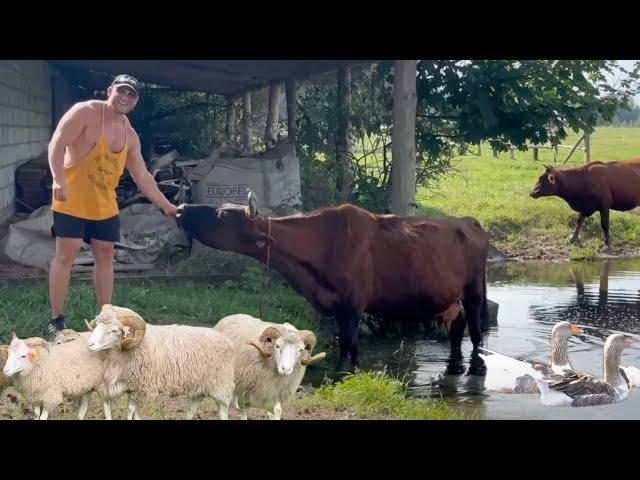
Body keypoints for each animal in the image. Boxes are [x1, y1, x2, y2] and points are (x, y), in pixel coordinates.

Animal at [85, 304, 235, 420]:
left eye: (114, 330)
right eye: (97, 325)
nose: (90, 344)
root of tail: (225, 338)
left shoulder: (140, 387)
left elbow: (130, 410)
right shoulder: (131, 387)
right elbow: (134, 411)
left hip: (221, 385)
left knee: (223, 409)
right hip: (200, 387)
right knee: (191, 410)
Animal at [175, 192, 490, 372]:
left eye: (223, 214)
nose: (180, 208)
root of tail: (469, 221)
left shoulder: (352, 301)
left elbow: (347, 340)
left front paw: (340, 372)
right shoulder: (340, 305)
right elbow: (352, 343)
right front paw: (354, 368)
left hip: (474, 289)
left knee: (475, 332)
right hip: (453, 299)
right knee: (457, 329)